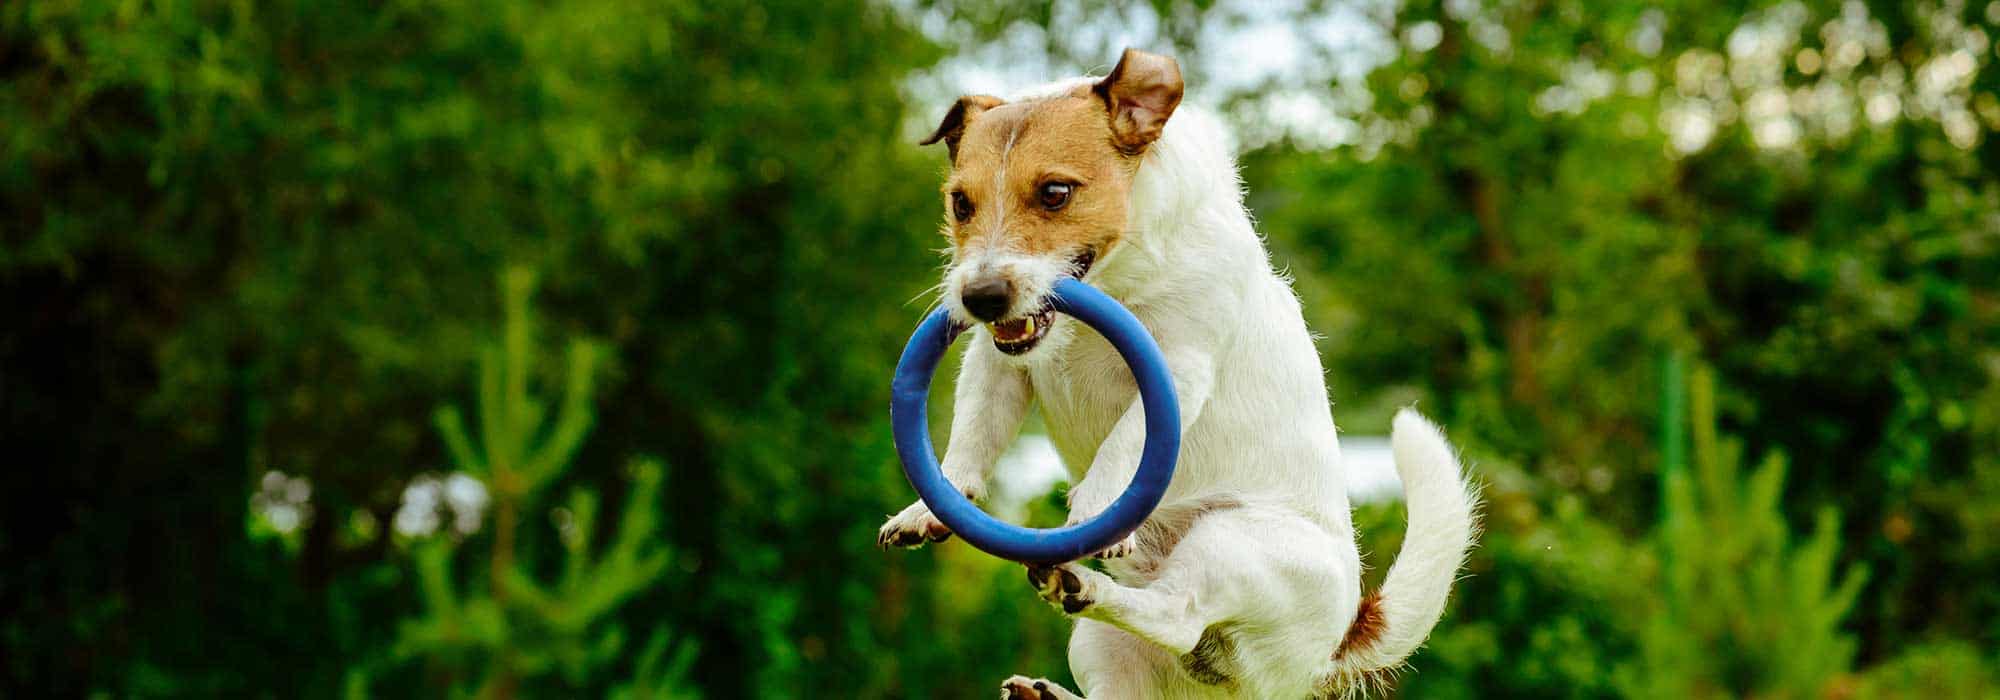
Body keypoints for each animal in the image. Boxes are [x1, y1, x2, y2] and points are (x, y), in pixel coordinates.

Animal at [880, 46, 1488, 696]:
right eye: (959, 203)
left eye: (1055, 193)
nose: (982, 297)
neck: (1115, 279)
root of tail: (1331, 648)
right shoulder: (999, 365)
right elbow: (972, 434)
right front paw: (932, 505)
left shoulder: (1178, 370)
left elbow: (1125, 442)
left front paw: (1095, 505)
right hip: (1102, 645)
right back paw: (1045, 682)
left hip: (1234, 544)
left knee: (1177, 612)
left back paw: (1081, 584)